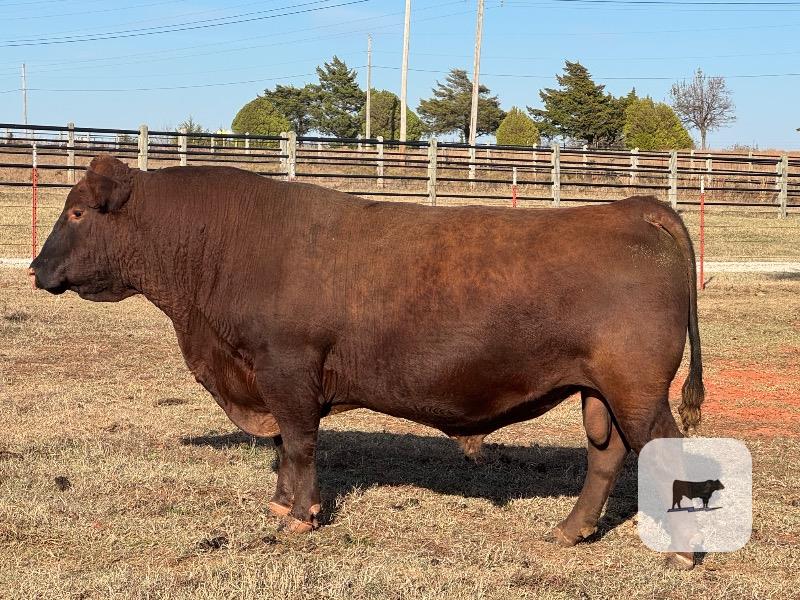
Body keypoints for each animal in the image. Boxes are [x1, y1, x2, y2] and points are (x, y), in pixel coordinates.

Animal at [29, 155, 705, 569]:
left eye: (77, 213)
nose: (35, 269)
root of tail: (629, 209)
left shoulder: (288, 370)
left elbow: (300, 442)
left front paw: (299, 516)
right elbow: (286, 446)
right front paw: (281, 503)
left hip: (637, 390)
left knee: (662, 454)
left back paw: (680, 550)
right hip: (601, 391)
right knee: (605, 454)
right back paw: (570, 529)